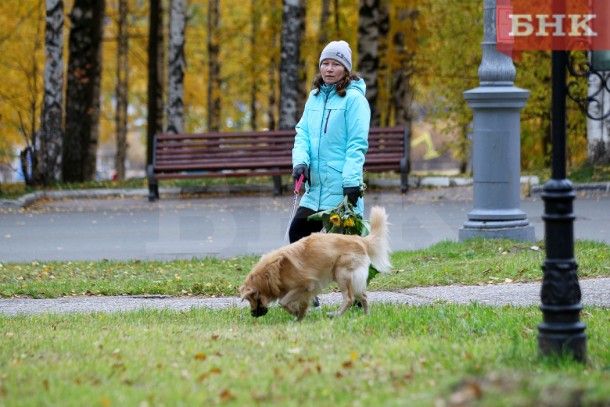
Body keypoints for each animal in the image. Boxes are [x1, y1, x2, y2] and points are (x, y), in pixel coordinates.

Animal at [238, 207, 390, 322]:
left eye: (250, 299)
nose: (252, 314)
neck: (270, 274)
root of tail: (359, 239)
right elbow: (293, 304)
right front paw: (299, 316)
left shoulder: (304, 286)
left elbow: (283, 303)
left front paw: (296, 314)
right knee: (363, 296)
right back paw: (366, 316)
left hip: (342, 274)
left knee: (349, 298)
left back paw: (336, 315)